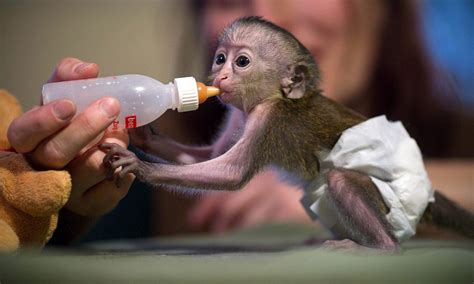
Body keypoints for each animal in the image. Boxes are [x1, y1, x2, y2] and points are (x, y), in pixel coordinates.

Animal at [101, 16, 474, 250]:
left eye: (241, 62)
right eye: (220, 58)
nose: (220, 77)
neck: (272, 97)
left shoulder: (270, 120)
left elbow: (231, 174)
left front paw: (139, 166)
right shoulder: (239, 114)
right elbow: (208, 157)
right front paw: (143, 135)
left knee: (340, 180)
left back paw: (381, 247)